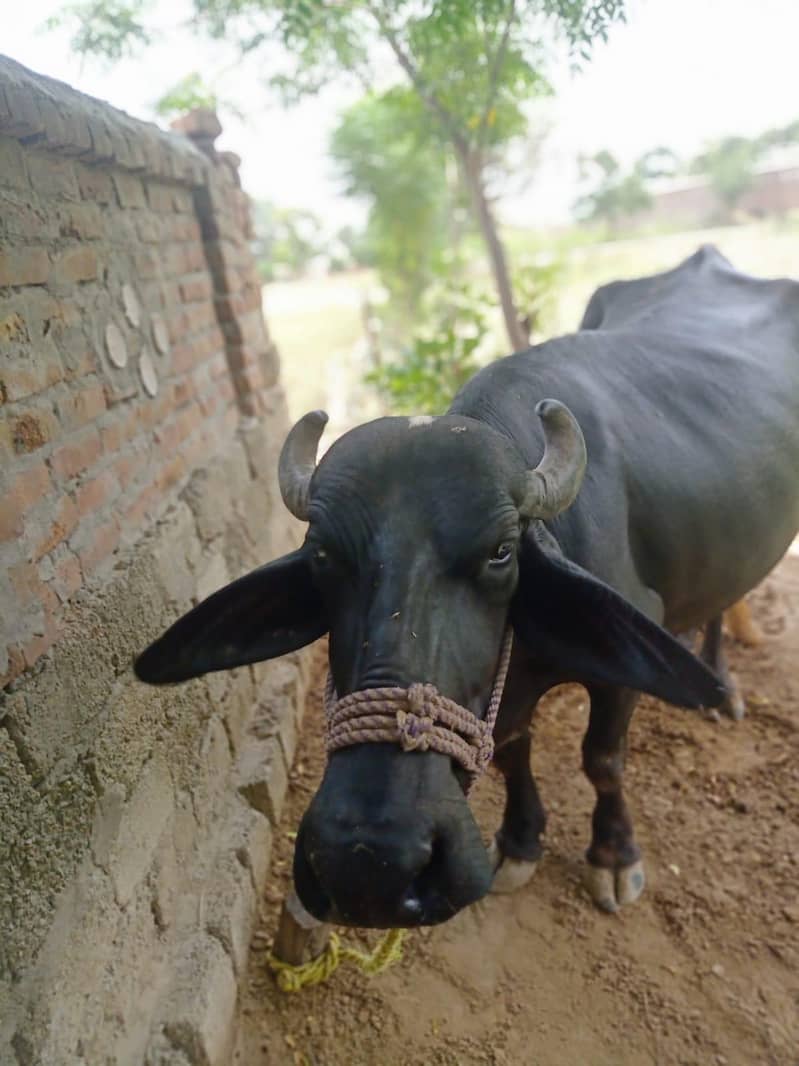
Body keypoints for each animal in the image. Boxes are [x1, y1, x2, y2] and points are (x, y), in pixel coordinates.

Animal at [136, 246, 799, 927]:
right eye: (323, 556)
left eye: (500, 551)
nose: (369, 863)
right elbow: (509, 748)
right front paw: (520, 841)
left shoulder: (624, 665)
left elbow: (603, 760)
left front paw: (614, 856)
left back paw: (721, 687)